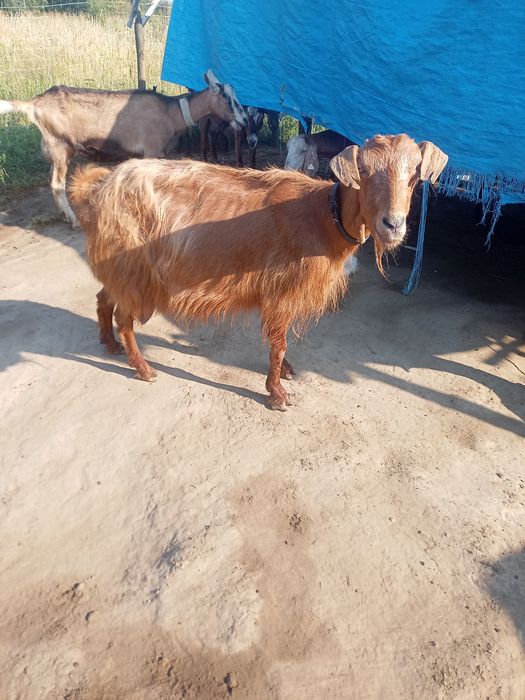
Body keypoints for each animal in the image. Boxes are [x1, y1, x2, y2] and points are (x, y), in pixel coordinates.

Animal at [0, 70, 247, 228]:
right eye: (227, 99)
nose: (244, 121)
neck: (170, 112)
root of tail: (33, 104)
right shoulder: (151, 150)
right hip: (61, 147)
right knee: (57, 185)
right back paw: (74, 220)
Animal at [69, 134, 447, 410]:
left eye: (415, 174)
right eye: (364, 172)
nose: (393, 225)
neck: (322, 218)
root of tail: (99, 189)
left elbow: (281, 342)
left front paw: (288, 372)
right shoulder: (281, 291)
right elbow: (277, 344)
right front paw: (277, 393)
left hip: (119, 269)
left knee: (104, 299)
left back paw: (109, 345)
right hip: (134, 271)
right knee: (124, 317)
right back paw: (143, 368)